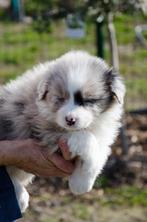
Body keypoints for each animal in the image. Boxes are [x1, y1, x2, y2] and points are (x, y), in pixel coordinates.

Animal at [0, 50, 125, 212]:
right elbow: (87, 139)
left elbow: (99, 154)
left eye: (88, 100)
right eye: (60, 98)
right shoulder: (45, 130)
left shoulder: (103, 133)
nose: (70, 120)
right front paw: (83, 180)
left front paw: (80, 182)